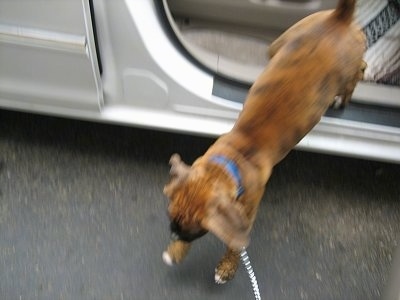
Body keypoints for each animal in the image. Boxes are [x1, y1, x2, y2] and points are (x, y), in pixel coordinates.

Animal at [162, 0, 366, 284]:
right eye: (171, 218)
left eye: (196, 231)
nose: (173, 235)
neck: (231, 161)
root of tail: (338, 19)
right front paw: (176, 251)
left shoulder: (246, 214)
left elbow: (235, 243)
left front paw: (227, 266)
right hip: (281, 43)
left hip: (347, 68)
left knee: (358, 73)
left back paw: (346, 93)